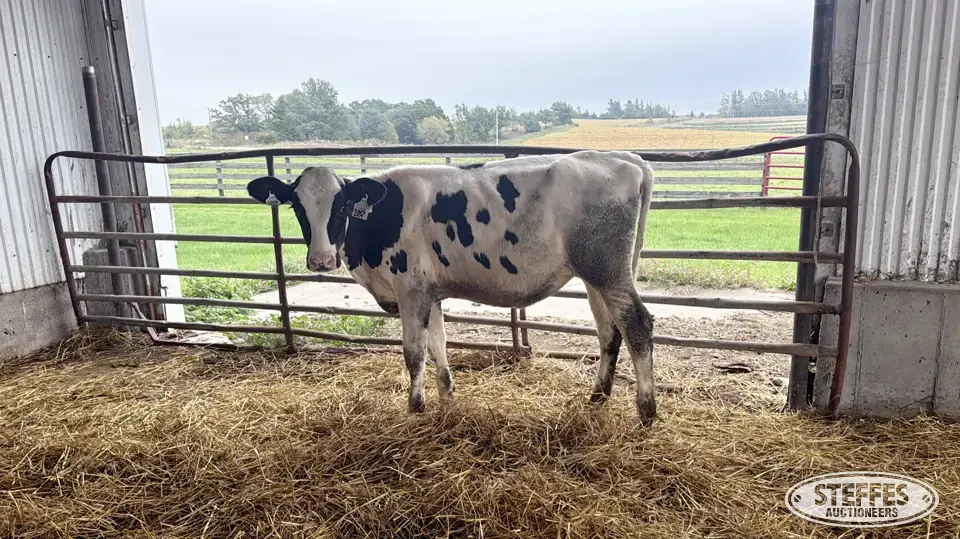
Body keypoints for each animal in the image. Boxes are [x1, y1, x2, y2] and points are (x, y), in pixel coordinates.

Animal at [246, 150, 658, 423]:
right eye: (297, 207)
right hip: (596, 276)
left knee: (637, 325)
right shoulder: (431, 293)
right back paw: (597, 397)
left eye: (342, 207)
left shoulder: (410, 291)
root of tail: (625, 159)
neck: (381, 217)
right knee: (610, 332)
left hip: (608, 271)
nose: (321, 260)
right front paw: (447, 397)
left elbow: (413, 354)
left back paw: (646, 411)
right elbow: (438, 344)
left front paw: (416, 409)